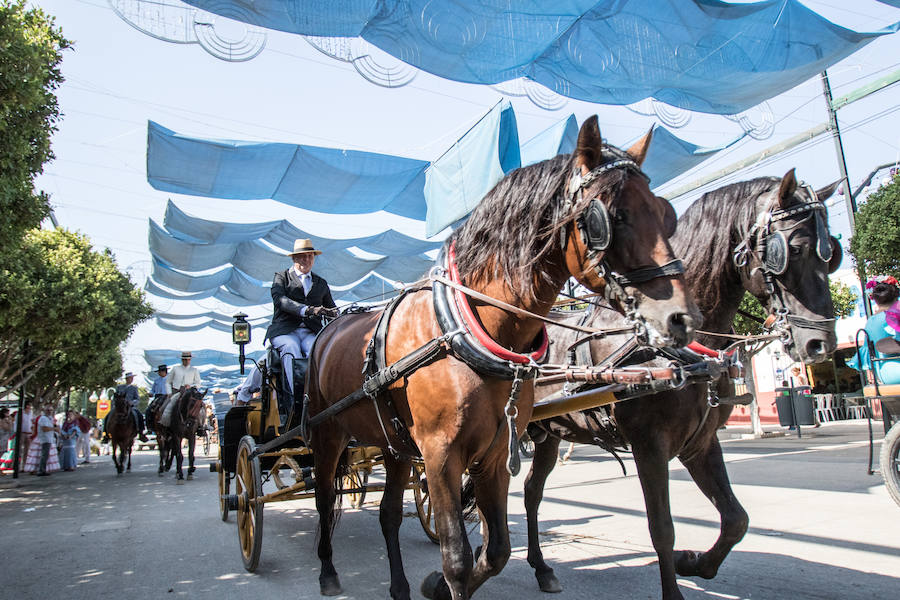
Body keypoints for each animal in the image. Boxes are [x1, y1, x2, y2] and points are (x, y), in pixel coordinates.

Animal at [306, 117, 700, 600]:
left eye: (666, 213)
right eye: (609, 218)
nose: (681, 318)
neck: (466, 330)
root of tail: (328, 327)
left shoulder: (494, 454)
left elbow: (496, 551)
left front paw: (436, 585)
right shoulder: (439, 455)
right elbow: (457, 558)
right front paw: (446, 582)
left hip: (394, 445)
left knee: (389, 514)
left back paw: (398, 585)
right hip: (327, 435)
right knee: (325, 498)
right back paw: (327, 571)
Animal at [524, 169, 840, 600]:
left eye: (833, 252)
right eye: (793, 248)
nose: (820, 342)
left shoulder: (700, 442)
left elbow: (736, 519)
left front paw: (692, 562)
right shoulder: (649, 445)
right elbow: (662, 529)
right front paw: (677, 570)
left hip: (548, 433)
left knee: (531, 491)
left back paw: (541, 567)